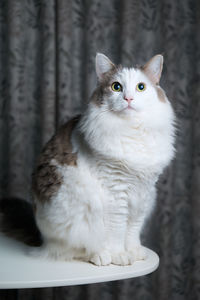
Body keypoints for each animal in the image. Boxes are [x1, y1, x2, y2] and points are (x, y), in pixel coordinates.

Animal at [18, 52, 177, 266]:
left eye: (141, 87)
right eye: (116, 87)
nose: (128, 98)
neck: (132, 131)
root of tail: (42, 239)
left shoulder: (142, 193)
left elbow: (132, 229)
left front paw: (134, 251)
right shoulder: (116, 191)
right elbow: (118, 230)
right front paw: (120, 255)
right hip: (78, 209)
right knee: (73, 249)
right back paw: (101, 256)